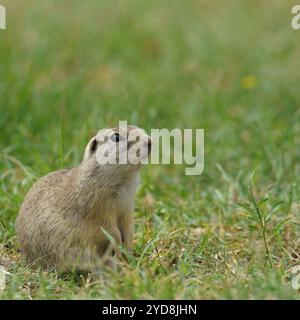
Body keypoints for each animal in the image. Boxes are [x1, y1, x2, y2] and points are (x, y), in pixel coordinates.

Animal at [15, 125, 152, 272]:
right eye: (116, 137)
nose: (149, 141)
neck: (124, 180)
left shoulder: (126, 208)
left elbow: (128, 228)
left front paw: (127, 252)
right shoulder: (99, 209)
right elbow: (109, 230)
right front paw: (119, 247)